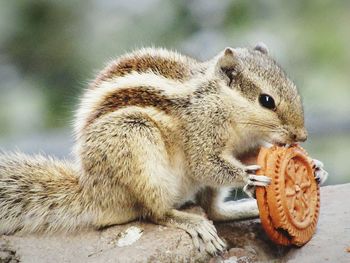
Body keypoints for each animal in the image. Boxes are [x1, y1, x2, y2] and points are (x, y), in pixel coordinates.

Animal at [0, 44, 328, 256]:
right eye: (266, 101)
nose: (302, 135)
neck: (223, 104)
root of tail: (93, 192)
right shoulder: (202, 132)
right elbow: (207, 164)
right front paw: (249, 178)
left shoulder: (243, 145)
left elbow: (245, 157)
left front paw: (315, 167)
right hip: (136, 140)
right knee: (156, 213)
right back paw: (192, 222)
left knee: (214, 210)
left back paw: (241, 209)